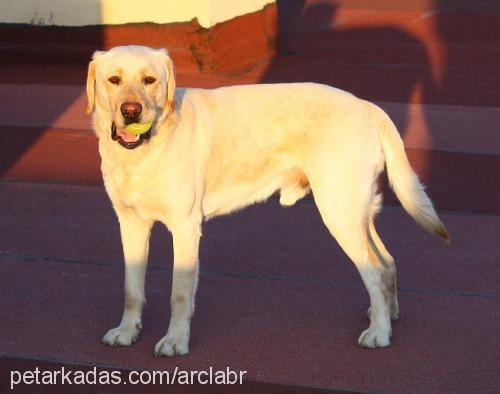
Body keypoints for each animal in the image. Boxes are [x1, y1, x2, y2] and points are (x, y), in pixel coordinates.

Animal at [86, 44, 450, 356]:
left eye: (149, 80)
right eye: (114, 80)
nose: (131, 111)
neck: (144, 151)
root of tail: (367, 105)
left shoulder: (186, 227)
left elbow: (179, 292)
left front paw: (175, 341)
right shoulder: (130, 223)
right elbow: (131, 288)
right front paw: (126, 332)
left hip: (339, 211)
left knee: (373, 270)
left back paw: (379, 333)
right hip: (354, 211)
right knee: (386, 263)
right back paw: (386, 316)